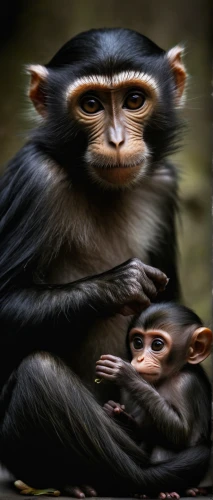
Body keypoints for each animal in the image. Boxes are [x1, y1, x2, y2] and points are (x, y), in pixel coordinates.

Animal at [95, 302, 212, 498]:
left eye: (157, 345)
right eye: (138, 343)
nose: (140, 358)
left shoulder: (185, 384)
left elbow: (180, 432)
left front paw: (126, 374)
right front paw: (116, 412)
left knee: (164, 446)